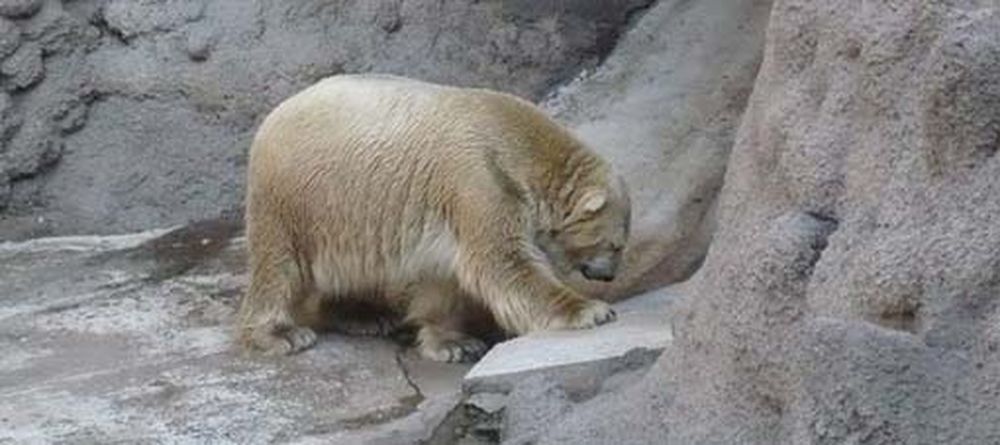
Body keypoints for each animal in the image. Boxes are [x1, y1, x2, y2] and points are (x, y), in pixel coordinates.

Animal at [238, 73, 631, 362]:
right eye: (615, 244)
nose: (609, 276)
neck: (515, 142)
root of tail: (273, 116)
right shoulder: (480, 182)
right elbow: (502, 262)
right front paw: (592, 311)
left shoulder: (450, 207)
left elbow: (445, 276)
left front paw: (453, 343)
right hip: (295, 198)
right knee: (278, 265)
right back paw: (281, 334)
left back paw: (366, 316)